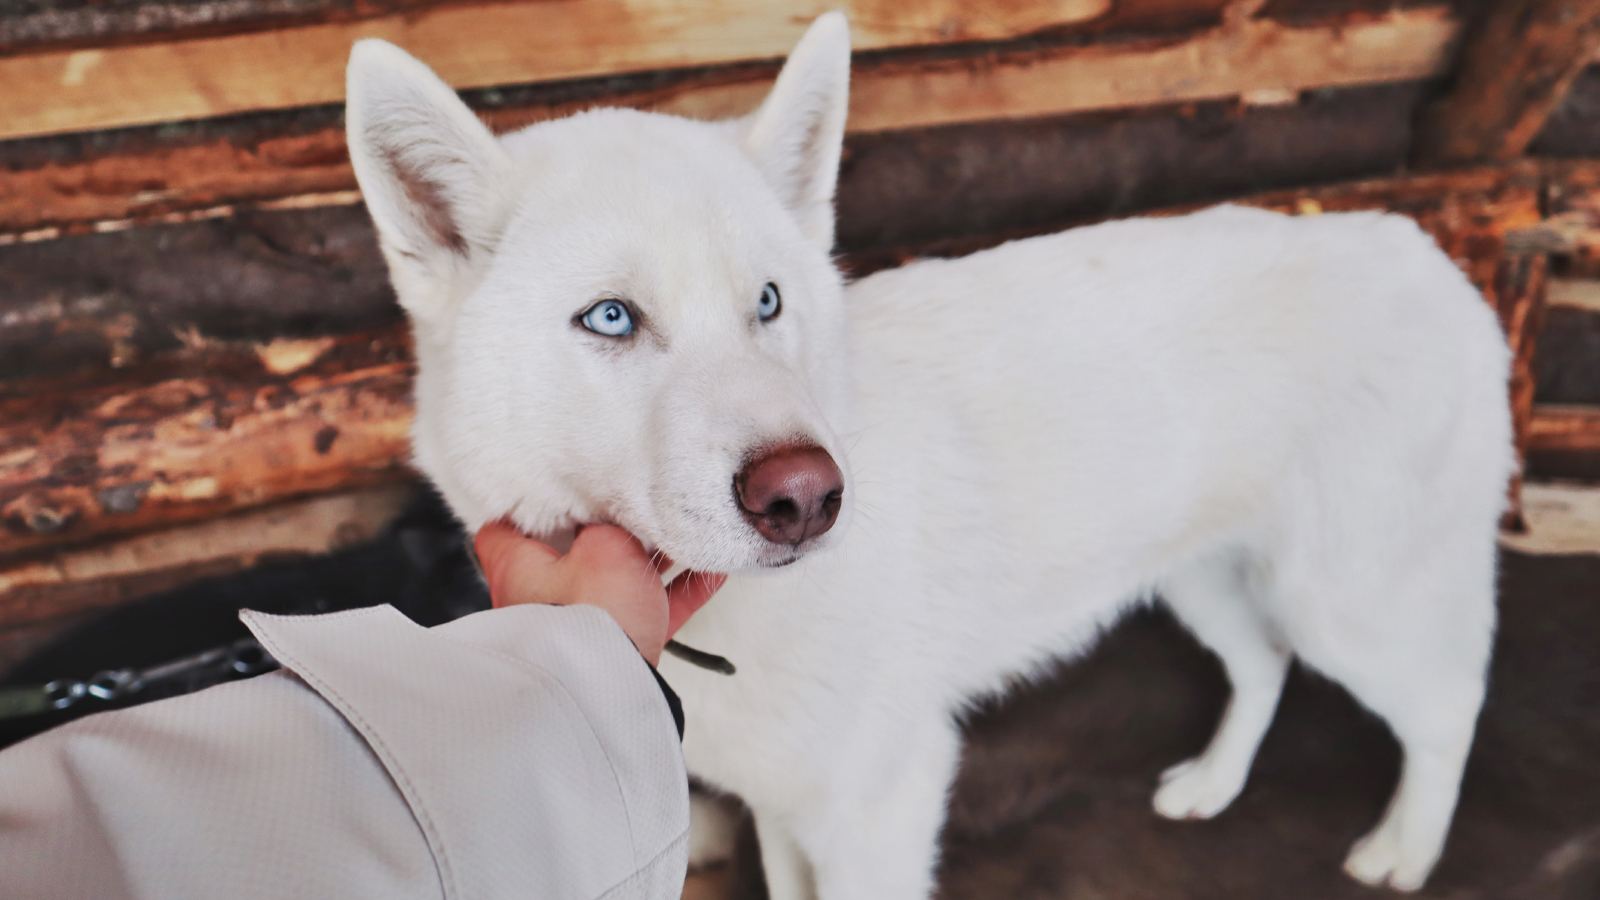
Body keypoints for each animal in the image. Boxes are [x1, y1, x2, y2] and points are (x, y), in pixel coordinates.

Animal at [347, 12, 1510, 890]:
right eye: (610, 320)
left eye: (767, 301)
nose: (806, 496)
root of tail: (1417, 242)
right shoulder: (788, 810)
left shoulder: (881, 807)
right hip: (1207, 583)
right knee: (1264, 667)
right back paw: (1214, 785)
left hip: (1349, 603)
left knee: (1452, 703)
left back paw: (1407, 850)